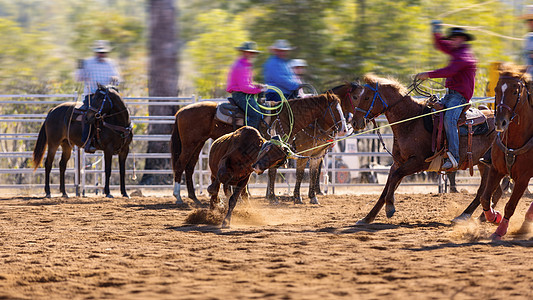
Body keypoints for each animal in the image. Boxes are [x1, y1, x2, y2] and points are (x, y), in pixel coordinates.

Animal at [168, 85, 356, 205]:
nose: (344, 129)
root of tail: (181, 111)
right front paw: (276, 197)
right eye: (335, 110)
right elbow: (284, 173)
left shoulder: (310, 153)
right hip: (190, 144)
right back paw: (178, 196)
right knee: (181, 165)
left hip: (197, 143)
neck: (288, 118)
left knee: (190, 167)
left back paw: (193, 197)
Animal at [352, 74, 496, 225]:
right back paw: (472, 215)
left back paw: (470, 215)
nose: (355, 122)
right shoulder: (398, 163)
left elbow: (396, 177)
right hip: (484, 164)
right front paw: (367, 218)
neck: (411, 121)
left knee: (485, 191)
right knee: (485, 190)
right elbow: (386, 188)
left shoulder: (419, 162)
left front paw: (390, 207)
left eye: (367, 97)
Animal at [476, 64, 532, 240]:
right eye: (496, 89)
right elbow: (485, 198)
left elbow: (510, 206)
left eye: (515, 91)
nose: (500, 122)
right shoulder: (496, 169)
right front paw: (495, 217)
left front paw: (500, 230)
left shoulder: (523, 178)